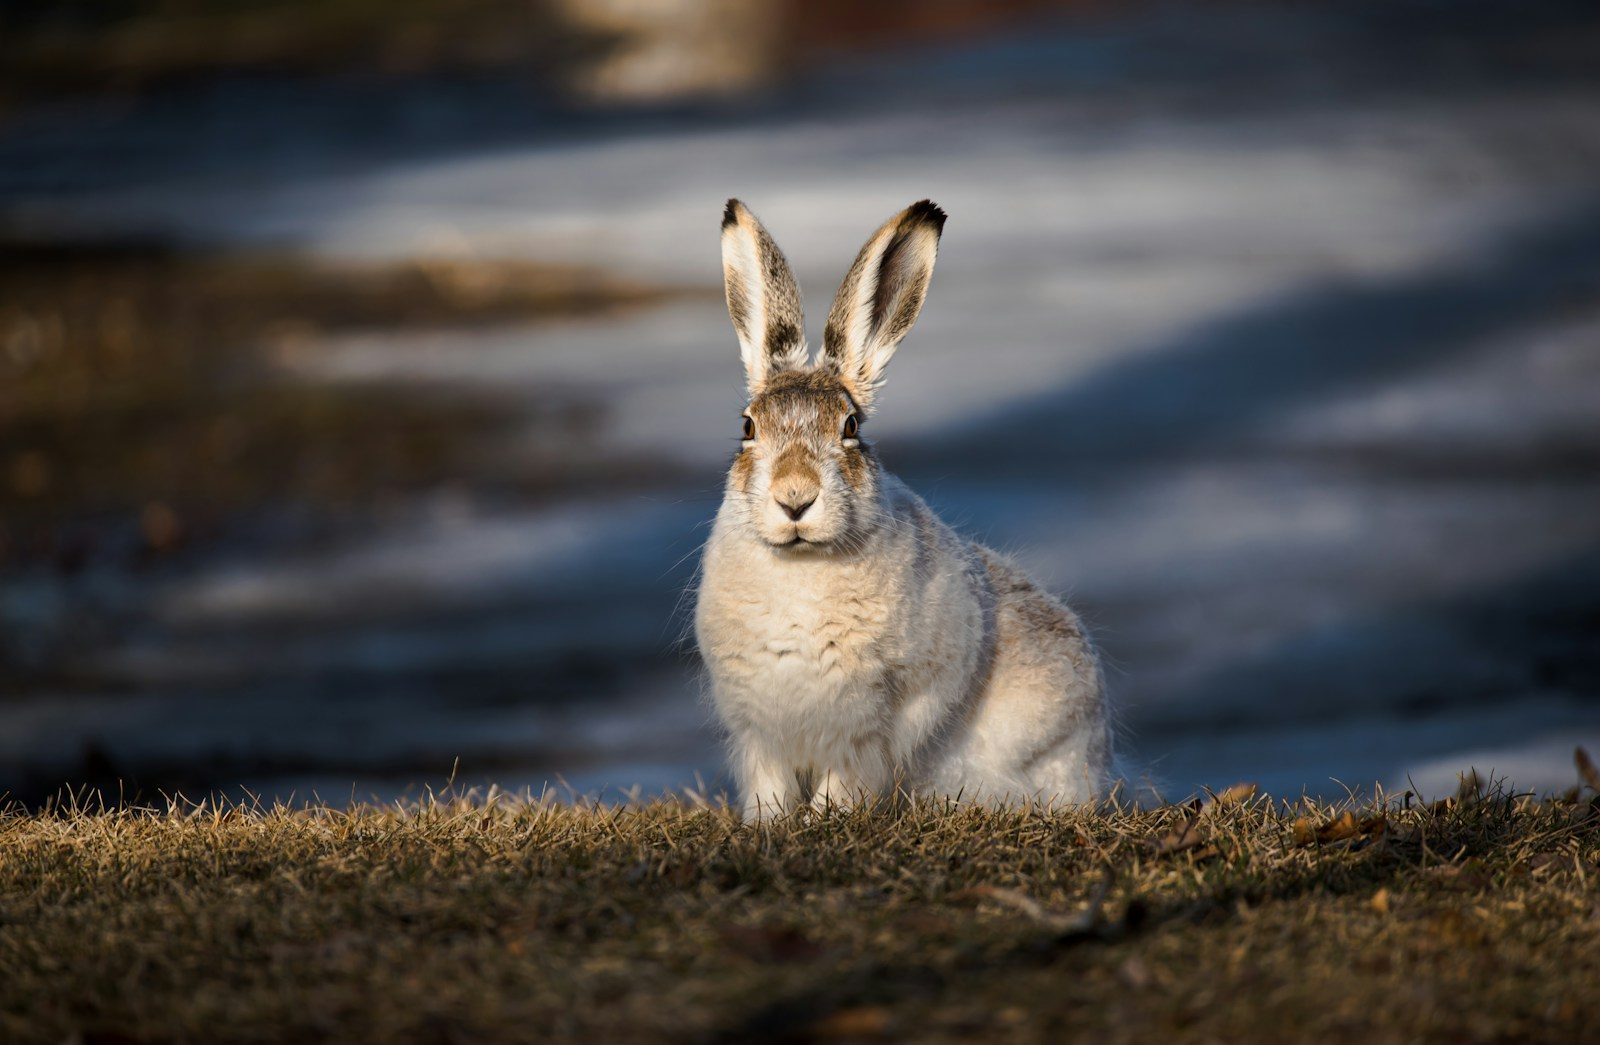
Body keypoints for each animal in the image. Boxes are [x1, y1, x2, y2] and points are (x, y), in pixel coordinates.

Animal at [695, 198, 1111, 821]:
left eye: (850, 428)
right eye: (747, 428)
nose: (795, 496)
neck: (800, 570)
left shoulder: (871, 723)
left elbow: (846, 779)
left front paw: (824, 820)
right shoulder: (759, 731)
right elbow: (770, 783)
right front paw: (766, 824)